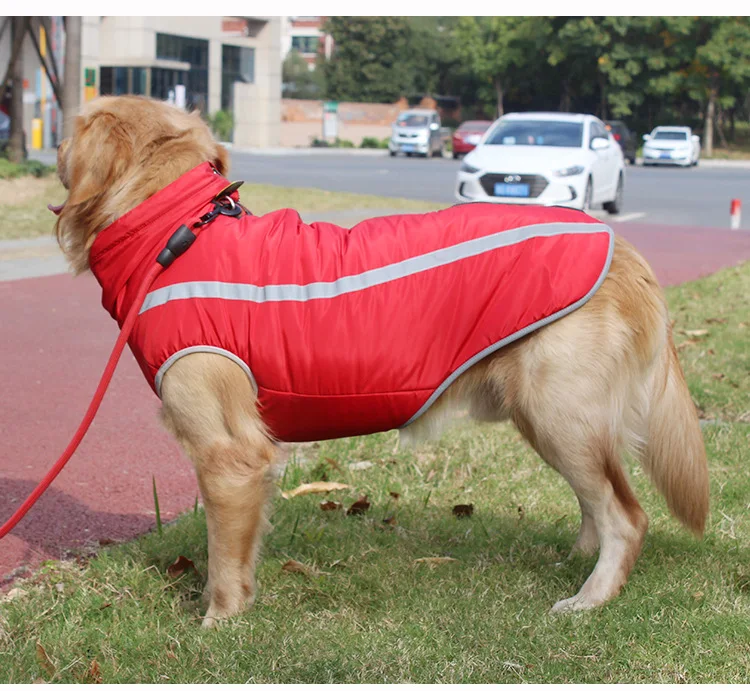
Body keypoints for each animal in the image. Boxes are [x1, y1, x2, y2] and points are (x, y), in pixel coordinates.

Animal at [52, 96, 709, 627]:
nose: (53, 143)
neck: (179, 230)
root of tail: (621, 245)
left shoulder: (229, 452)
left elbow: (223, 562)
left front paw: (218, 625)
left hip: (558, 413)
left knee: (627, 515)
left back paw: (590, 597)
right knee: (599, 501)